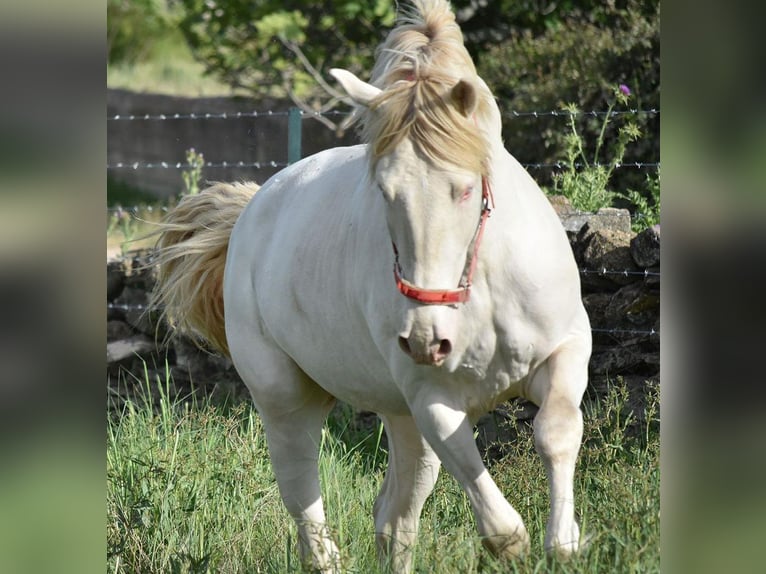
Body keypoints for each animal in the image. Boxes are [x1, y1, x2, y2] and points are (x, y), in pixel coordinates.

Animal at [152, 2, 592, 572]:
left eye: (465, 189)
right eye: (384, 190)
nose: (426, 340)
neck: (480, 286)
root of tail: (253, 207)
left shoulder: (566, 350)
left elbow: (555, 432)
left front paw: (564, 543)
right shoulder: (431, 400)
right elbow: (501, 529)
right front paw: (521, 547)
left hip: (398, 417)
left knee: (394, 520)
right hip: (288, 401)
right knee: (305, 501)